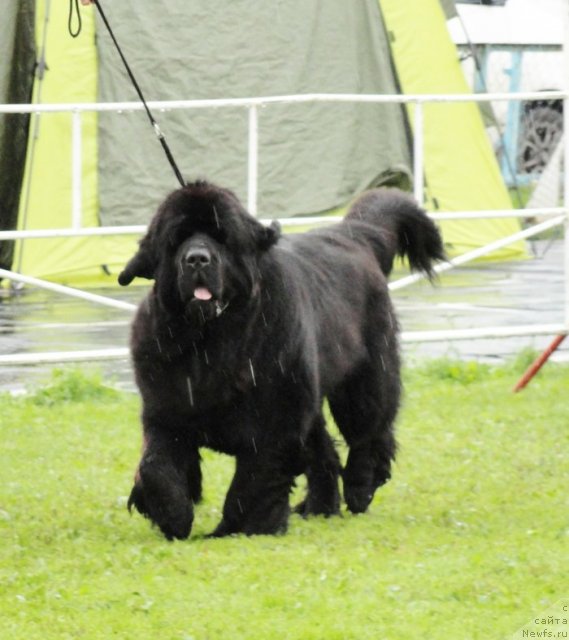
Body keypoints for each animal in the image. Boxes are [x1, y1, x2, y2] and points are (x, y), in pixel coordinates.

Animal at [117, 181, 442, 540]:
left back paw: (360, 489)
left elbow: (253, 480)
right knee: (326, 450)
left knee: (368, 433)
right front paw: (173, 516)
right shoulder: (167, 407)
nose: (197, 259)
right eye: (176, 240)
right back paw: (319, 507)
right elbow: (156, 465)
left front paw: (241, 528)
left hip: (364, 378)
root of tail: (355, 235)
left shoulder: (276, 419)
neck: (211, 339)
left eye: (223, 238)